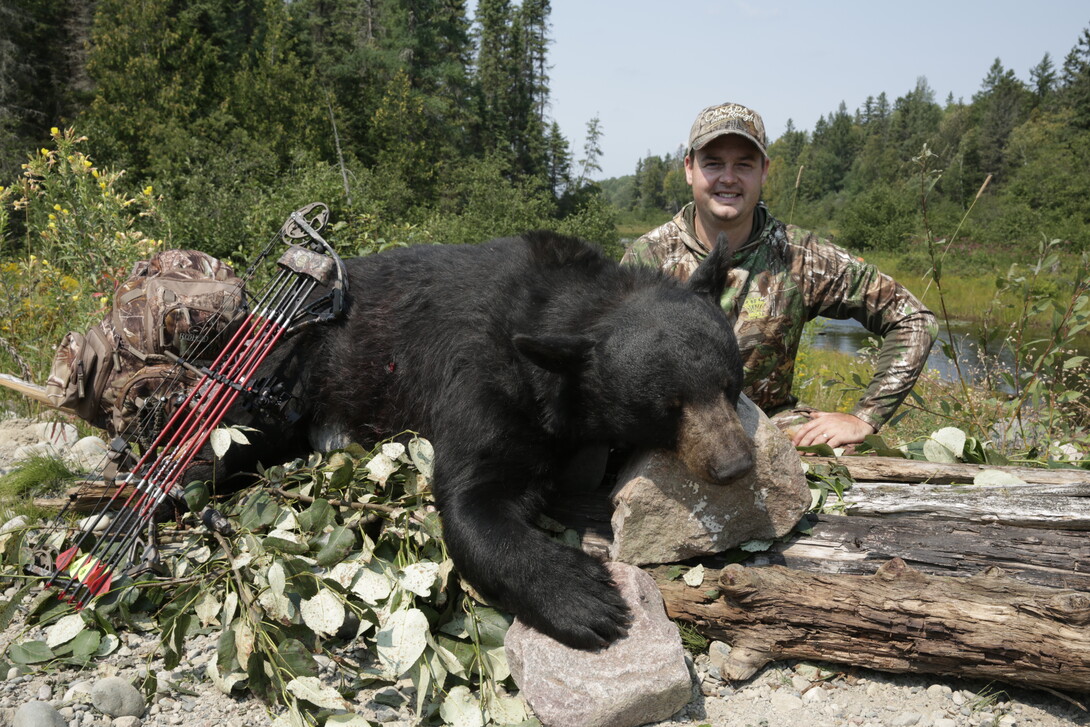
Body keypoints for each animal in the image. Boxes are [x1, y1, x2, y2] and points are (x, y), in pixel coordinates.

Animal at [261, 233, 749, 649]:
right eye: (671, 406)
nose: (735, 464)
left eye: (729, 383)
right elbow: (473, 498)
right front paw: (587, 599)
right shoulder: (485, 373)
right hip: (301, 361)